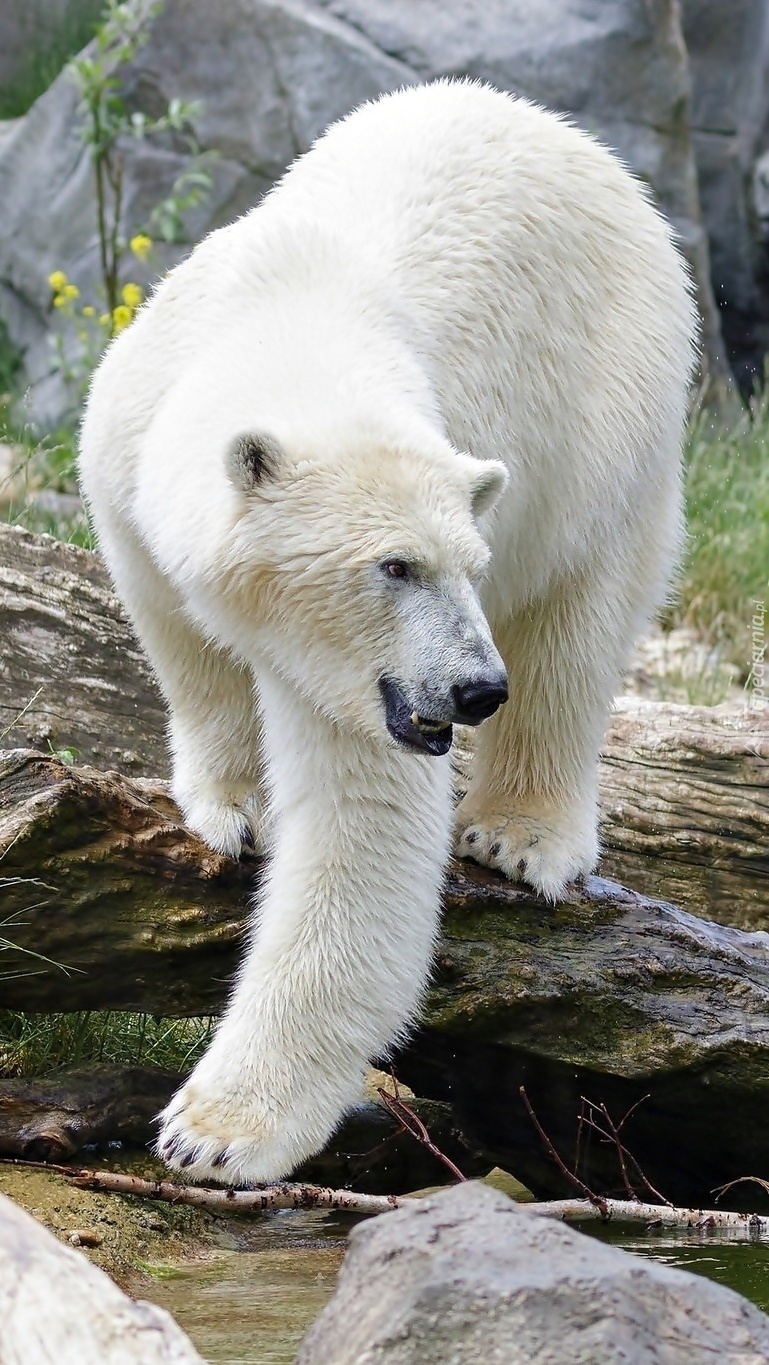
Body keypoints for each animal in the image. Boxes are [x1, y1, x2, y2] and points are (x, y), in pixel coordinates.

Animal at [79, 82, 699, 1184]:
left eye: (465, 563)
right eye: (393, 566)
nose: (471, 689)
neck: (289, 315)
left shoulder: (373, 682)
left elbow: (358, 834)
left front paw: (212, 1130)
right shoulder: (126, 458)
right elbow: (186, 640)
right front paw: (235, 802)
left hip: (611, 410)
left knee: (577, 621)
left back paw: (520, 832)